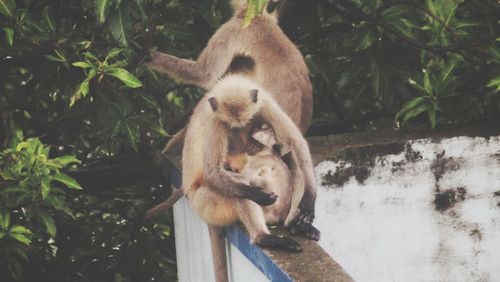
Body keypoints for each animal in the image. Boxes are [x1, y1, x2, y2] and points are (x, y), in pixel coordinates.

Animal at [184, 75, 320, 251]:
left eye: (247, 124)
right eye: (232, 127)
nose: (247, 146)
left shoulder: (265, 102)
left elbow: (296, 142)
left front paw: (310, 196)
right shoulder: (215, 120)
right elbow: (213, 170)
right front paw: (255, 194)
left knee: (292, 157)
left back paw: (294, 224)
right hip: (206, 204)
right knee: (238, 188)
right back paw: (263, 238)